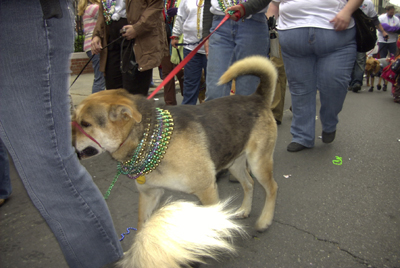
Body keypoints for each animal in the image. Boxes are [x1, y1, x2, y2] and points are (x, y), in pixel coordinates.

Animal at [72, 56, 278, 266]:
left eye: (85, 124)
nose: (70, 147)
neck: (148, 137)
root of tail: (256, 98)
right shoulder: (149, 194)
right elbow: (142, 226)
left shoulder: (207, 190)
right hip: (234, 162)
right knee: (249, 183)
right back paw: (245, 209)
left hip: (258, 163)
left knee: (272, 188)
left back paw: (264, 220)